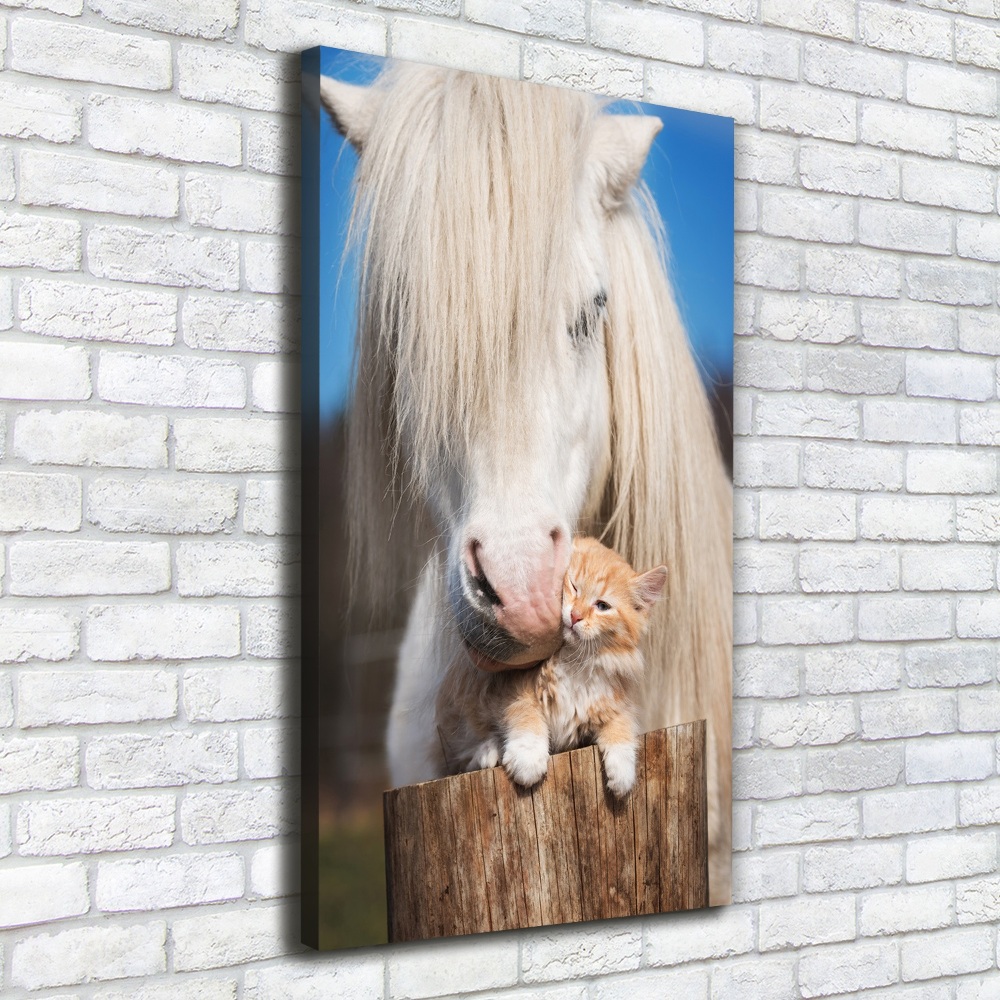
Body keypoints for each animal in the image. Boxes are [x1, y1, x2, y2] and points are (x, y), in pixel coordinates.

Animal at [436, 540, 664, 796]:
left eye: (602, 606)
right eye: (574, 587)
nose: (575, 616)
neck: (574, 659)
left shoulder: (612, 701)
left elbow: (622, 727)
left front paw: (623, 774)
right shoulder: (514, 688)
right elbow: (527, 718)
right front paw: (528, 760)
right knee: (461, 756)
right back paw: (488, 752)